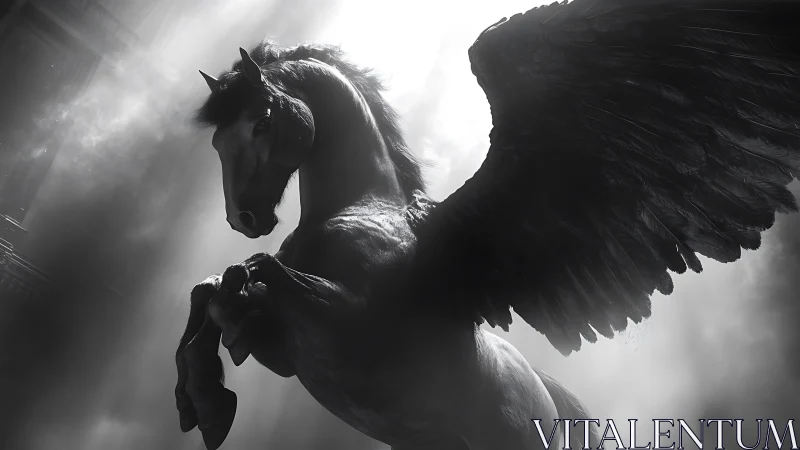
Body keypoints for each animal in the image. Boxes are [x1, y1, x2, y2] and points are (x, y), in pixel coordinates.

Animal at [175, 42, 597, 450]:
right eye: (217, 141)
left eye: (262, 122)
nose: (241, 218)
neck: (360, 209)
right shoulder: (285, 353)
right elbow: (211, 288)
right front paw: (201, 401)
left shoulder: (351, 323)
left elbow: (257, 267)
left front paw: (209, 395)